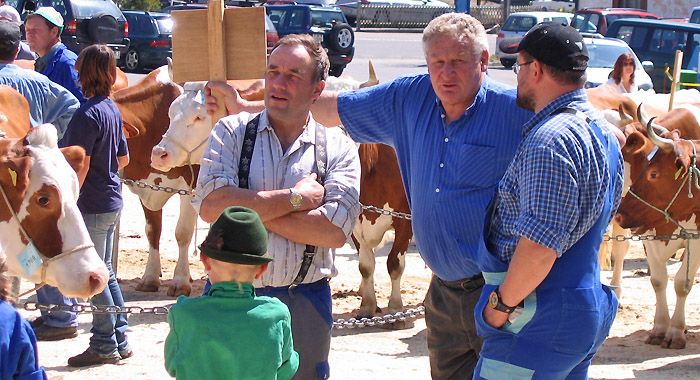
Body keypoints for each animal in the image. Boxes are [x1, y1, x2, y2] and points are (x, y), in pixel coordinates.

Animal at [616, 108, 700, 348]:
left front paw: (676, 331)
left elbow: (682, 283)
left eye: (653, 174)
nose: (619, 215)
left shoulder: (696, 239)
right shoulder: (648, 234)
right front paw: (660, 328)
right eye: (643, 165)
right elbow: (658, 280)